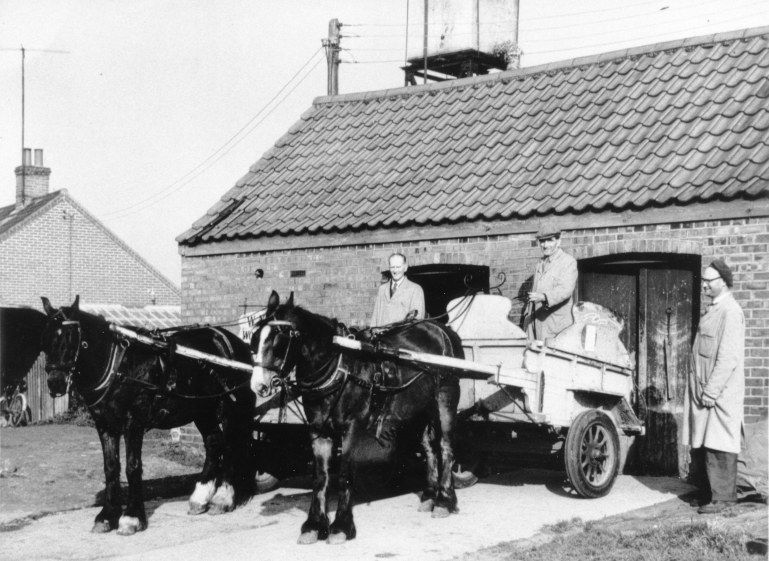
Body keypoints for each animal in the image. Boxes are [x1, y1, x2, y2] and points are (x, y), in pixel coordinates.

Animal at [40, 296, 256, 536]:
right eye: (46, 337)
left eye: (72, 337)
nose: (55, 383)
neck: (119, 366)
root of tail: (234, 342)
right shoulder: (105, 424)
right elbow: (111, 467)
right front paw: (107, 515)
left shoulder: (133, 422)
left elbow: (132, 467)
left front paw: (131, 517)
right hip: (203, 410)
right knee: (214, 443)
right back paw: (200, 498)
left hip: (227, 408)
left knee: (230, 446)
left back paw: (223, 498)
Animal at [250, 290, 462, 544]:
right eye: (255, 338)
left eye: (278, 339)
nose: (258, 385)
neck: (339, 367)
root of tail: (442, 328)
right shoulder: (318, 430)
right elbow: (320, 477)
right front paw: (314, 525)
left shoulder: (351, 428)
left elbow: (344, 475)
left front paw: (341, 526)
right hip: (420, 408)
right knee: (429, 448)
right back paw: (430, 495)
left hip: (446, 398)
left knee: (446, 446)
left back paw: (444, 500)